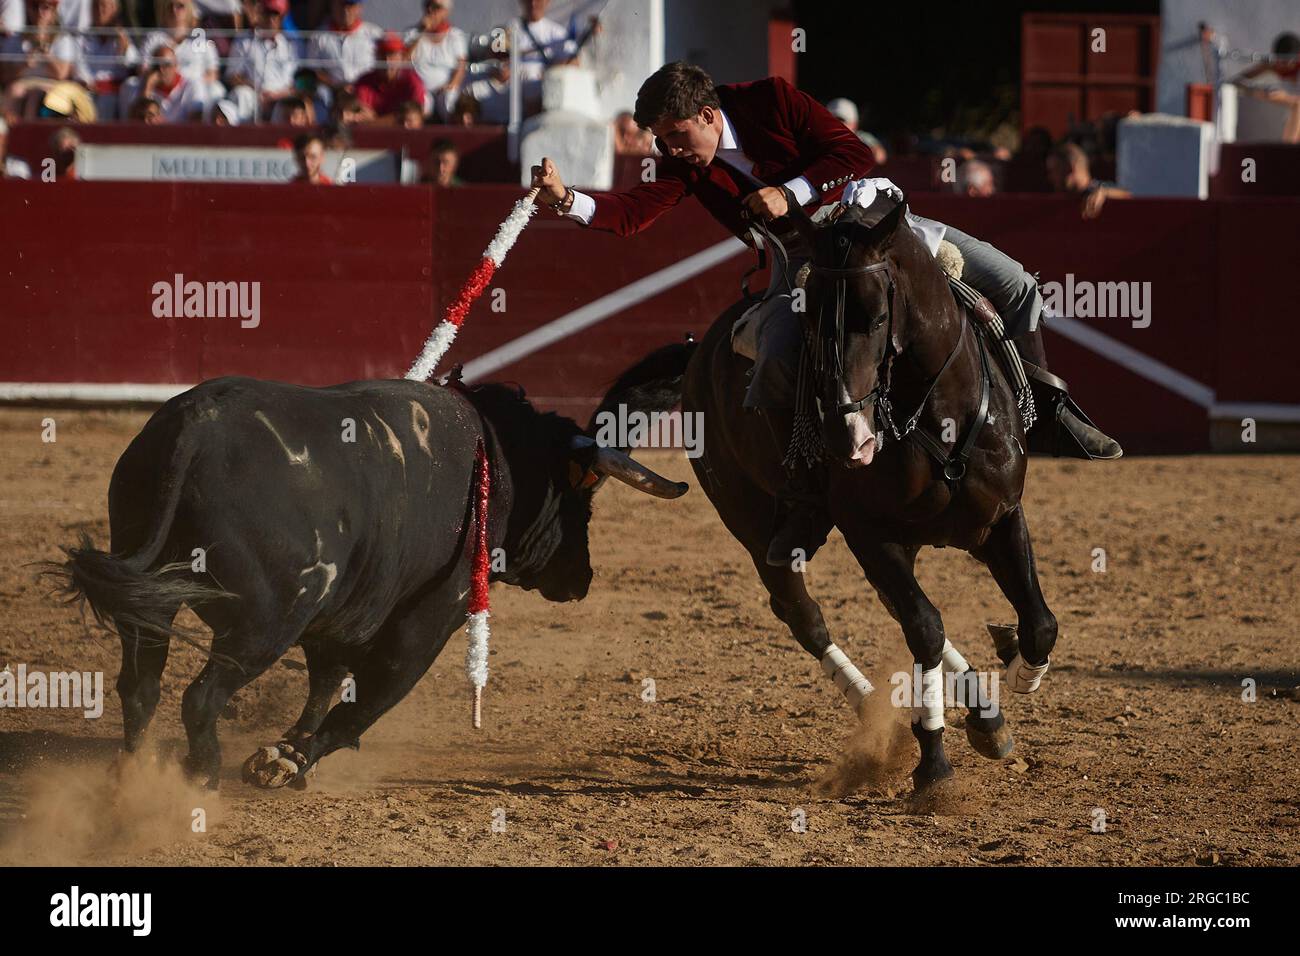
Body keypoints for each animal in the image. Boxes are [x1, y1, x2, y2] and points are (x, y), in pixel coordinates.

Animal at [49, 377, 681, 790]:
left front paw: (287, 753)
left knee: (141, 685)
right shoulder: (431, 617)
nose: (582, 578)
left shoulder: (340, 613)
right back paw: (199, 776)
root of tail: (196, 430)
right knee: (200, 696)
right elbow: (371, 695)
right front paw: (288, 761)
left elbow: (327, 682)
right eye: (581, 500)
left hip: (157, 599)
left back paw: (136, 773)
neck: (496, 458)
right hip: (267, 619)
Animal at [603, 200, 1060, 790]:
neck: (939, 418)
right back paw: (872, 706)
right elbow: (924, 627)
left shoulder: (1001, 517)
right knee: (802, 612)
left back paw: (984, 713)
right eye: (810, 316)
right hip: (751, 525)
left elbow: (1038, 622)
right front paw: (933, 762)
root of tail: (697, 352)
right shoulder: (870, 534)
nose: (849, 439)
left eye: (879, 316)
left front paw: (1011, 674)